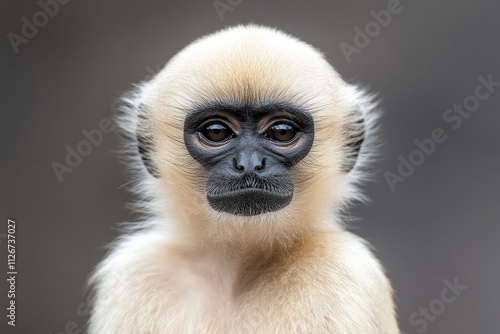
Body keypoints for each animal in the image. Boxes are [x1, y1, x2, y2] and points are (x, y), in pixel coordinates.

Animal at [89, 24, 398, 332]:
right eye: (216, 131)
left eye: (282, 132)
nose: (249, 165)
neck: (234, 270)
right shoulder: (138, 269)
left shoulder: (340, 264)